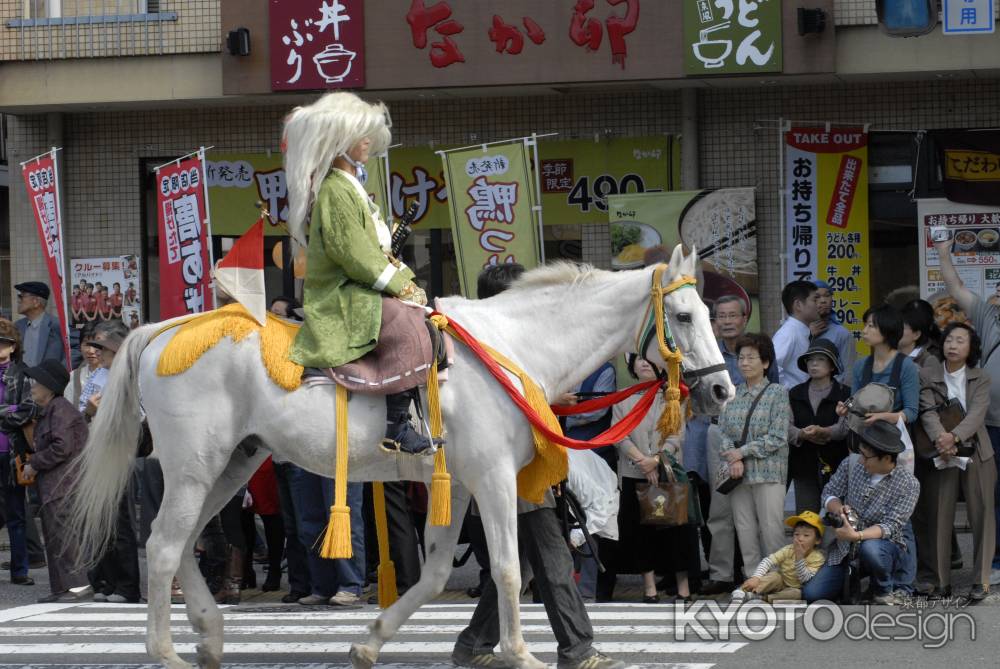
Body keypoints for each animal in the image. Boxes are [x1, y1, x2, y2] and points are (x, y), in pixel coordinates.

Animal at [68, 244, 728, 668]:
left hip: (233, 464)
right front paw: (519, 652)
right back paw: (165, 651)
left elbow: (437, 573)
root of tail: (162, 331)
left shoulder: (456, 483)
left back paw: (207, 636)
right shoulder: (492, 477)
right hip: (194, 465)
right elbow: (510, 569)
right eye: (684, 315)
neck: (514, 345)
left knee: (183, 544)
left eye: (707, 313)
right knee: (163, 547)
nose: (723, 390)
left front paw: (371, 642)